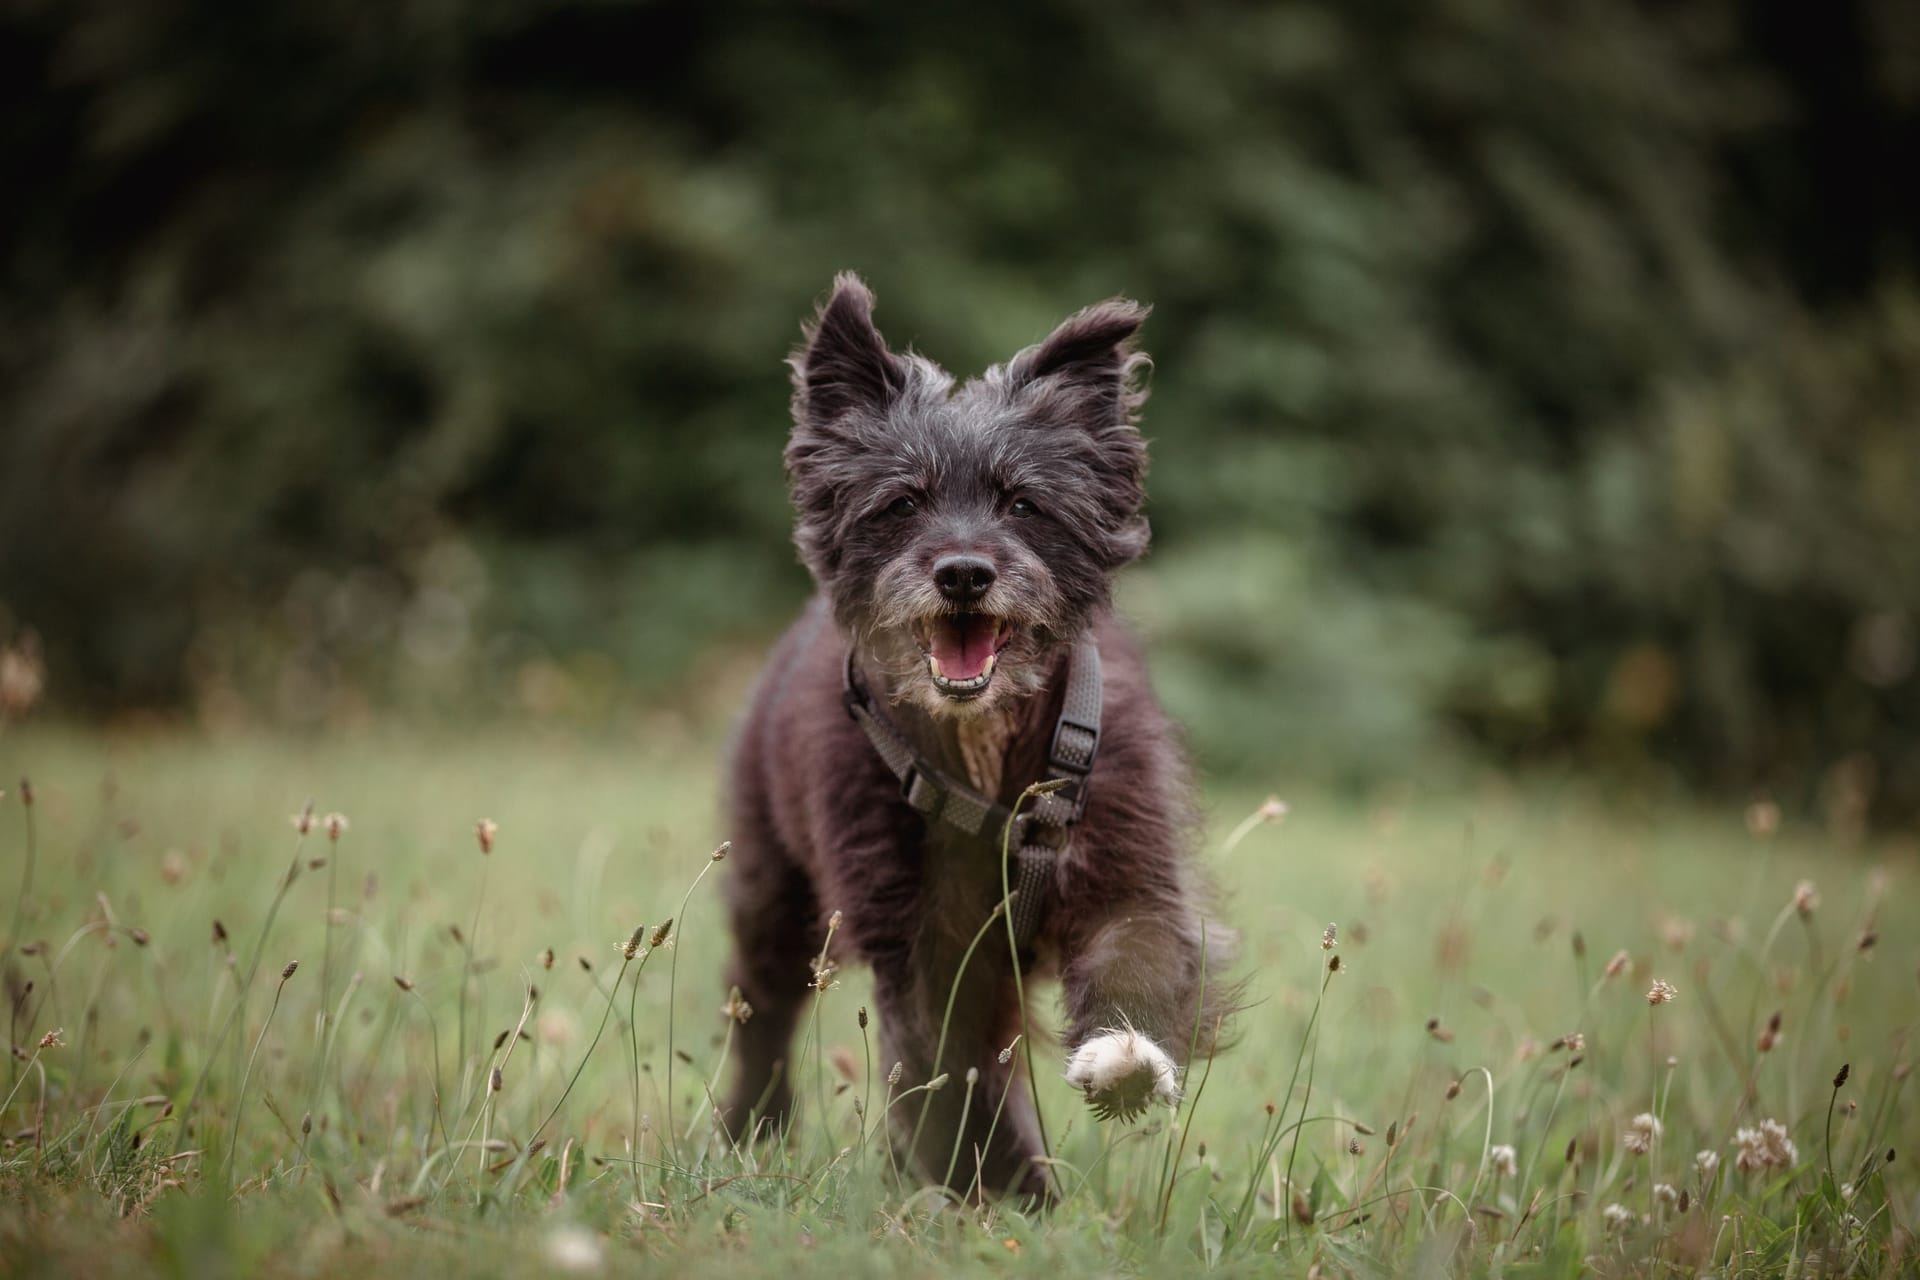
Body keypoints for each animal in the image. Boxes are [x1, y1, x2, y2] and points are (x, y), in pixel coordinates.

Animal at [718, 272, 1228, 1205]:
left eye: (1023, 502)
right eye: (902, 502)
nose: (963, 572)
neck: (985, 747)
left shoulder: (1127, 860)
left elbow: (1138, 950)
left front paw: (1125, 1060)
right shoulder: (918, 938)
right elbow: (954, 1077)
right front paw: (1007, 1195)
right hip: (774, 891)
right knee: (762, 1010)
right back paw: (753, 1133)